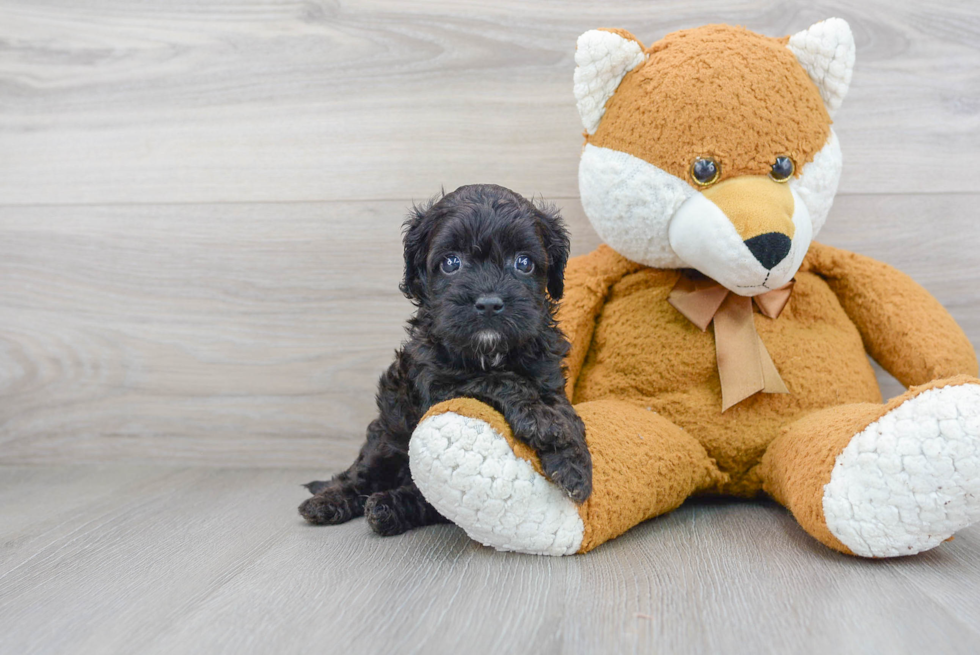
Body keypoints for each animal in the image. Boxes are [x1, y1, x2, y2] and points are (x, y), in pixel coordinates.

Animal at [298, 182, 588, 536]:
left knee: (426, 500)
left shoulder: (548, 376)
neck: (489, 351)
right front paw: (542, 422)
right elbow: (500, 380)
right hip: (386, 437)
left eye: (524, 263)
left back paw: (386, 509)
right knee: (360, 475)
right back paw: (327, 501)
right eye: (451, 263)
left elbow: (564, 410)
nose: (489, 303)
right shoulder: (436, 383)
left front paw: (574, 464)